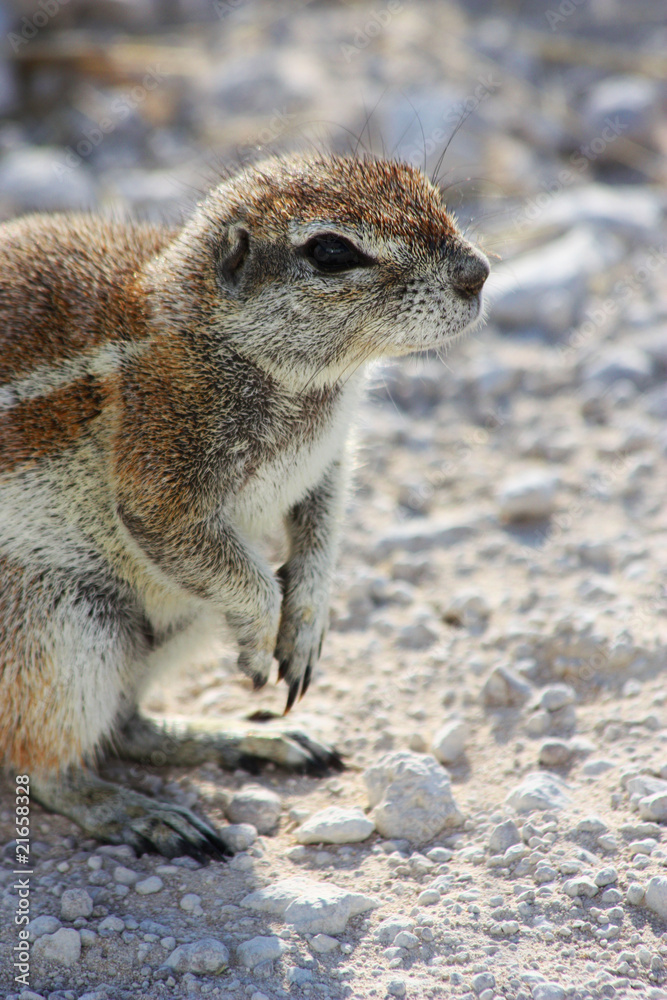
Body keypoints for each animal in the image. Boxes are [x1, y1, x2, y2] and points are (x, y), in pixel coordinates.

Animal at [0, 154, 489, 859]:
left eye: (430, 191)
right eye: (332, 252)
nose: (479, 274)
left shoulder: (328, 462)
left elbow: (323, 525)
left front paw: (306, 625)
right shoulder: (162, 458)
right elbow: (215, 558)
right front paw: (264, 640)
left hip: (176, 623)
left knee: (130, 727)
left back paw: (249, 738)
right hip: (63, 628)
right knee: (48, 767)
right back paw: (143, 812)